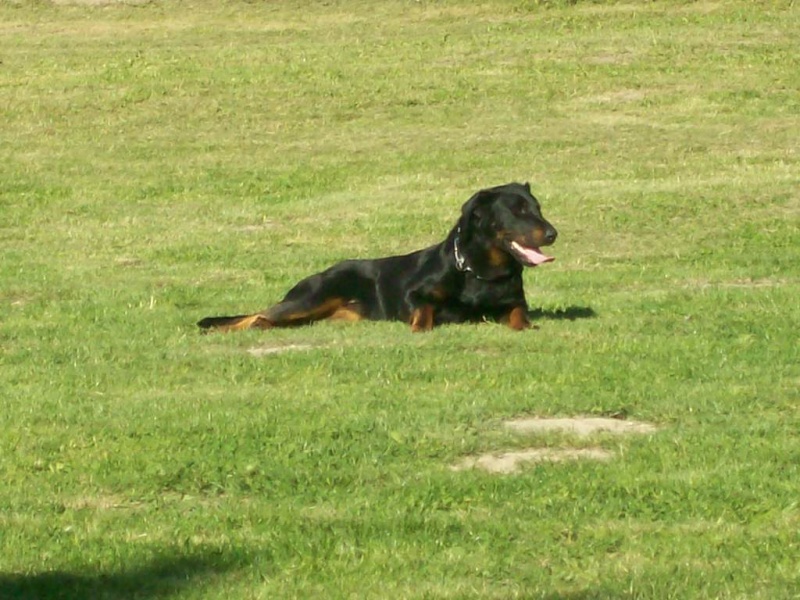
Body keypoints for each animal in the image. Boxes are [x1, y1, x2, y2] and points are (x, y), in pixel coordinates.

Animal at [198, 183, 560, 332]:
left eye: (537, 208)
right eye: (517, 211)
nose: (552, 233)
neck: (477, 270)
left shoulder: (513, 302)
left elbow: (518, 314)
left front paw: (528, 326)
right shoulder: (412, 294)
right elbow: (424, 311)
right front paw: (420, 327)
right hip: (312, 296)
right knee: (260, 316)